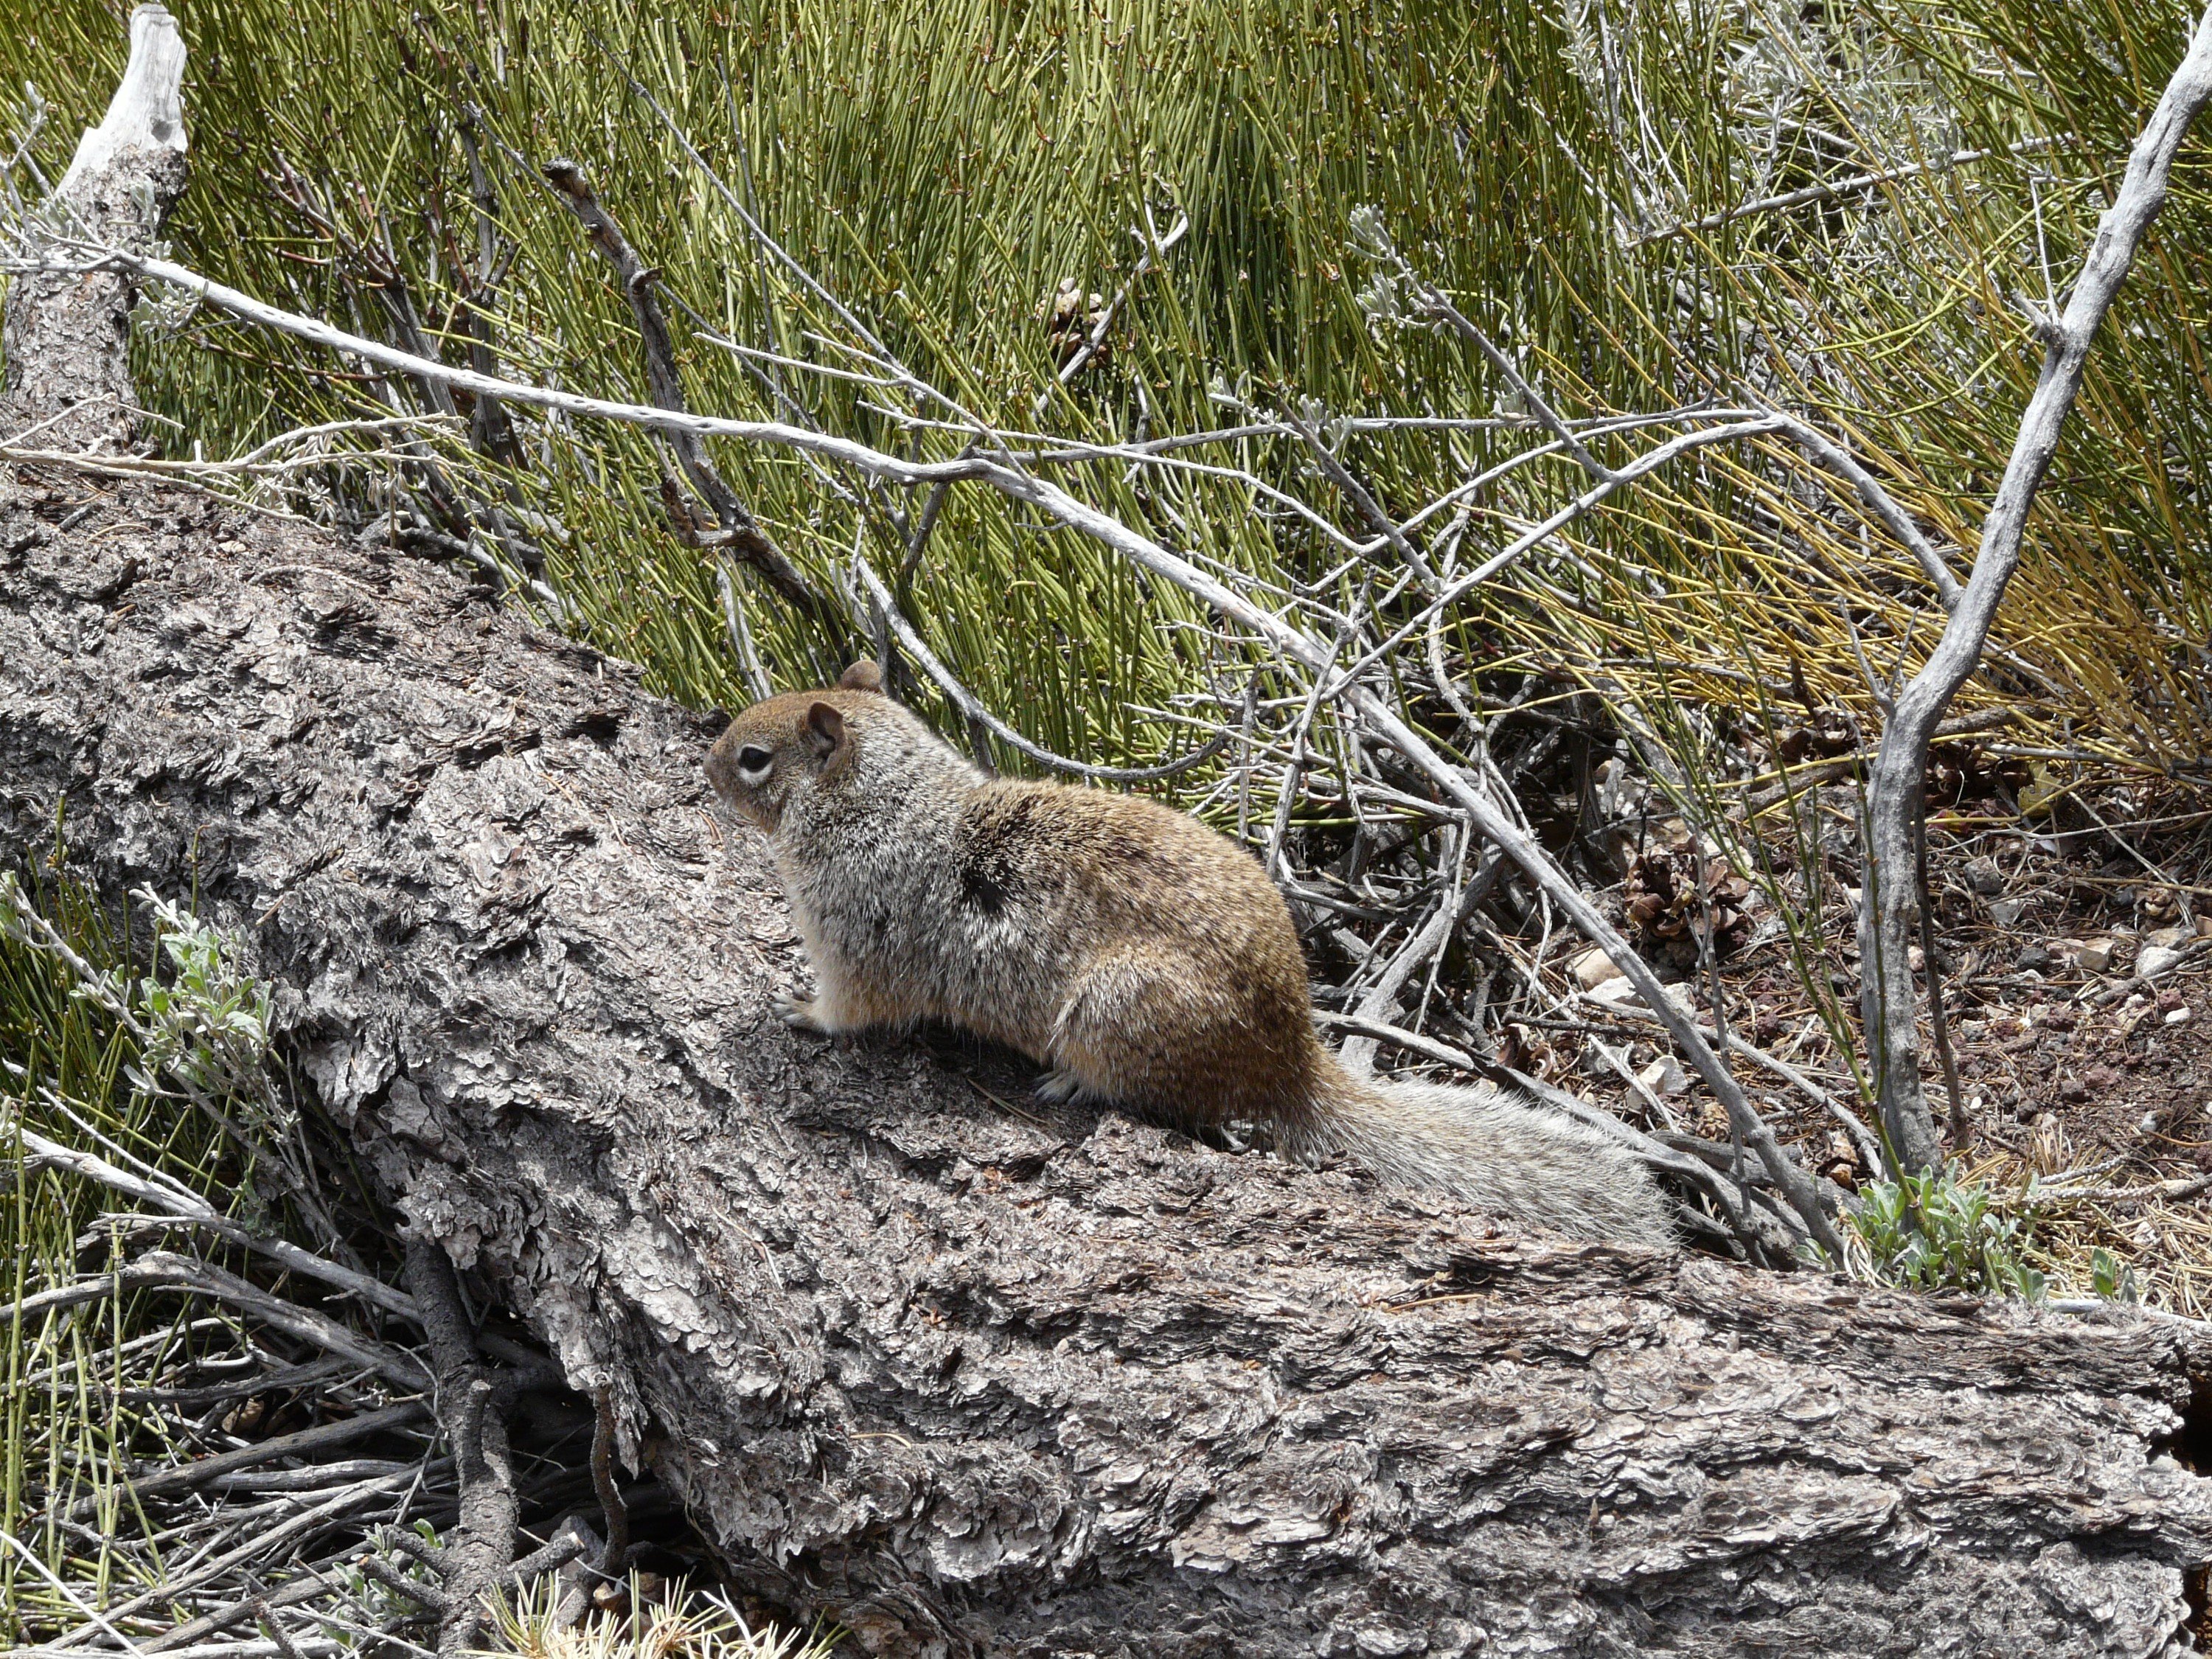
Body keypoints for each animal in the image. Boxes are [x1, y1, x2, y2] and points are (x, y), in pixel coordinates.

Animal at [712, 664, 1672, 1248]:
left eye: (754, 758)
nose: (707, 761)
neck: (880, 801)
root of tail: (1290, 1064)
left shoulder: (855, 938)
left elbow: (851, 1010)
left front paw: (796, 1010)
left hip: (1118, 1007)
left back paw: (1072, 1084)